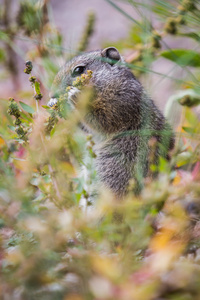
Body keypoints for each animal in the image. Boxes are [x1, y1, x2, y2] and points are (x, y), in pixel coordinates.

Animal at [47, 46, 174, 197]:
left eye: (78, 70)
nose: (52, 94)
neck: (110, 81)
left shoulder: (121, 102)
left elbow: (103, 120)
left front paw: (75, 96)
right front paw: (53, 103)